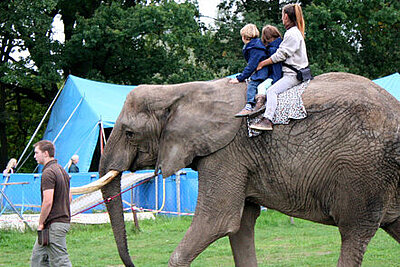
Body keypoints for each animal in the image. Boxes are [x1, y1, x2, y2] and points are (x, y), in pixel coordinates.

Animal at [86, 72, 398, 266]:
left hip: (363, 173)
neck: (180, 92)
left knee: (353, 233)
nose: (132, 263)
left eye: (129, 133)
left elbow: (218, 221)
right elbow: (241, 225)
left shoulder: (226, 154)